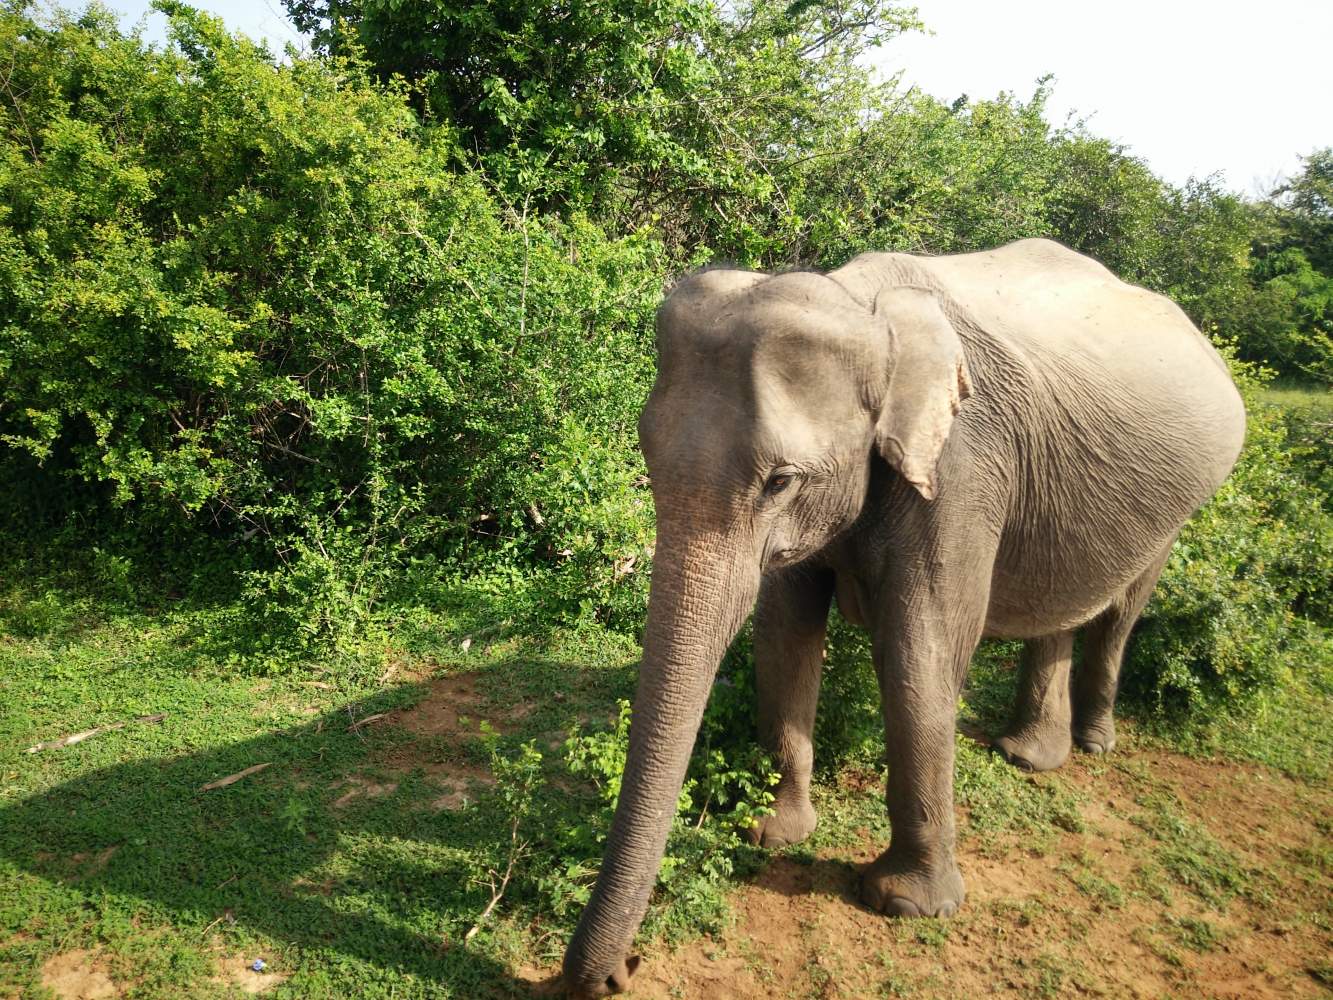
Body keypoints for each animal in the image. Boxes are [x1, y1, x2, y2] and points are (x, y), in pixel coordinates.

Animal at [557, 238, 1242, 997]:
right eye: (647, 456)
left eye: (780, 481)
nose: (620, 973)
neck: (865, 311)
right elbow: (784, 635)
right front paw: (774, 833)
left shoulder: (963, 468)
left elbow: (920, 653)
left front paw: (905, 905)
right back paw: (1027, 755)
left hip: (1184, 500)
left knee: (1122, 609)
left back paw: (1092, 745)